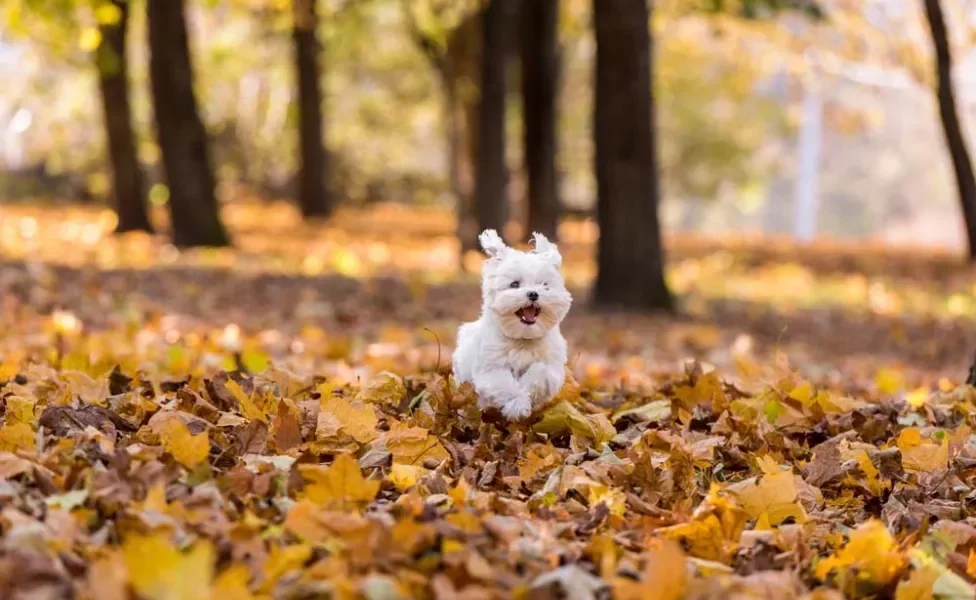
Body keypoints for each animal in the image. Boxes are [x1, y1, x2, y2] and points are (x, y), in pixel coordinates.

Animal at [454, 230, 576, 422]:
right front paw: (517, 405)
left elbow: (540, 372)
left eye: (544, 285)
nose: (533, 294)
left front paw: (526, 390)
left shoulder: (552, 367)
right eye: (514, 284)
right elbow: (505, 385)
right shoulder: (491, 369)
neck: (523, 338)